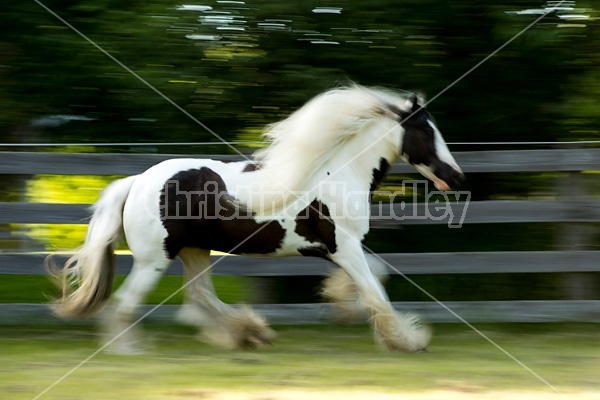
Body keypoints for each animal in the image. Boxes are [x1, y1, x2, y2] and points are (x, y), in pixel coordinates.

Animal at [51, 84, 464, 354]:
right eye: (426, 130)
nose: (457, 176)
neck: (335, 173)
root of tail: (136, 181)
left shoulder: (338, 249)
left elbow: (375, 277)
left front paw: (341, 308)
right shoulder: (343, 246)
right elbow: (376, 291)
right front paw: (408, 341)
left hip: (195, 252)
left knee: (199, 296)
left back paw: (249, 333)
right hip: (155, 259)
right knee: (127, 303)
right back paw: (130, 350)